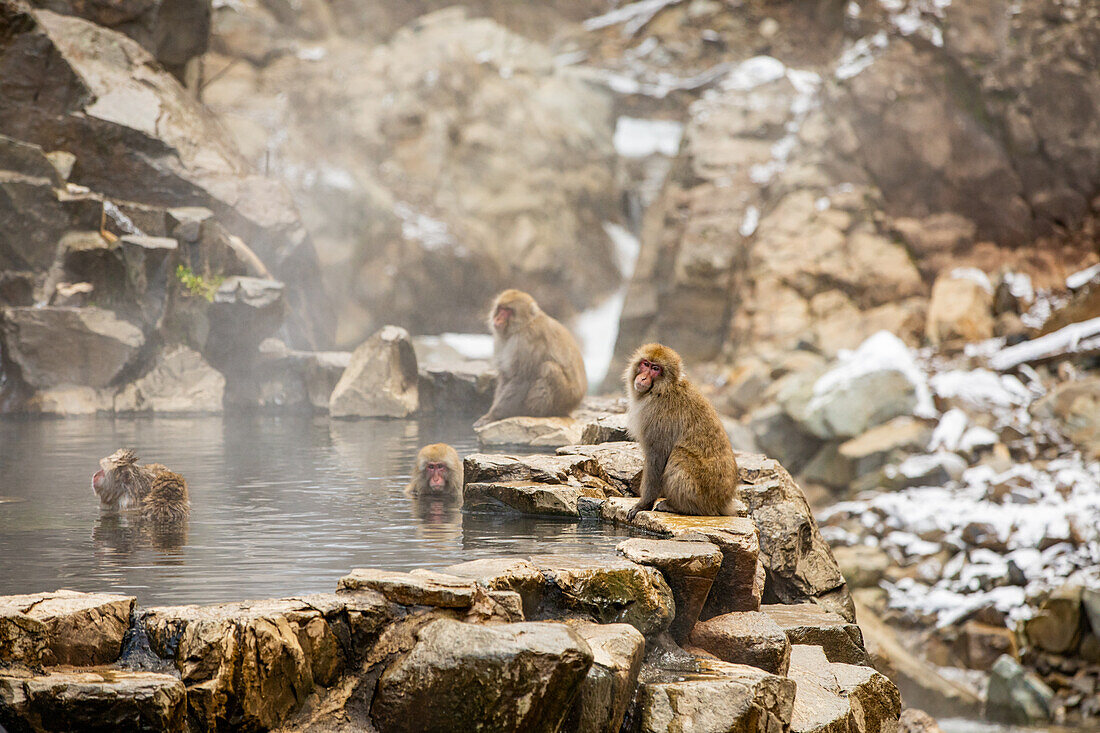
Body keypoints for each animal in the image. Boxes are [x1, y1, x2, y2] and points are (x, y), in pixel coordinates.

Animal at [475, 288, 589, 424]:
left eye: (508, 311)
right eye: (501, 308)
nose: (497, 319)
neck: (523, 325)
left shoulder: (526, 342)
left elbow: (521, 379)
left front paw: (492, 416)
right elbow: (506, 376)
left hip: (565, 397)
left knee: (548, 368)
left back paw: (534, 412)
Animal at [624, 343, 743, 519]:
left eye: (655, 368)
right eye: (645, 364)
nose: (643, 378)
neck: (661, 389)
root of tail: (724, 503)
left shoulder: (658, 417)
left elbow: (657, 456)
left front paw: (643, 504)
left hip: (703, 493)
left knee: (679, 455)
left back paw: (679, 507)